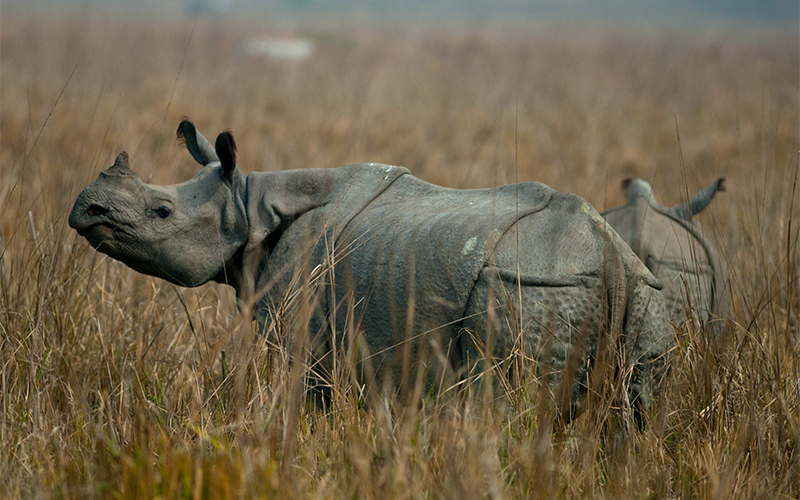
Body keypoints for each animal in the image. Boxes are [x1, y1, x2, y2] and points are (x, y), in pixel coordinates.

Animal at [69, 120, 672, 417]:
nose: (85, 211)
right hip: (643, 295)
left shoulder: (308, 338)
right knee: (637, 417)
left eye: (162, 211)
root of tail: (611, 257)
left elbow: (312, 402)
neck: (251, 204)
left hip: (529, 286)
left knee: (504, 410)